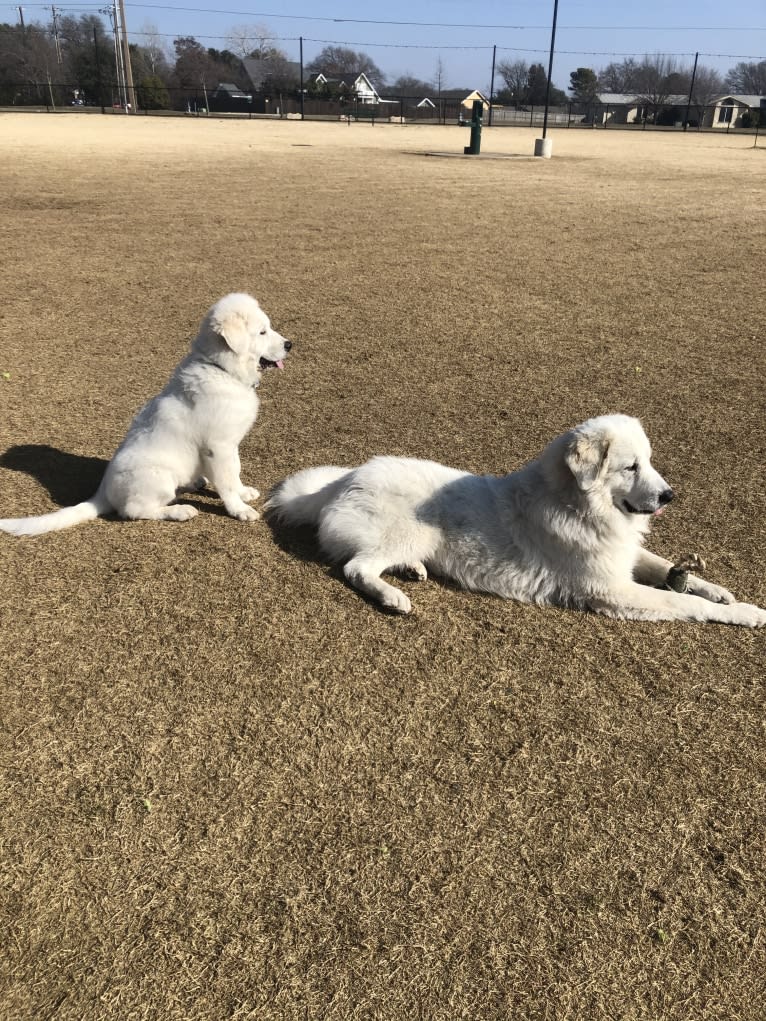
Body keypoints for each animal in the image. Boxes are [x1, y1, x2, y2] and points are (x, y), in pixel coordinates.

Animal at [0, 294, 290, 539]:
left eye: (268, 328)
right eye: (262, 332)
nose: (290, 344)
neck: (220, 369)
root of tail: (102, 491)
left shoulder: (230, 444)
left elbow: (234, 471)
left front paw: (243, 492)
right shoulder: (217, 447)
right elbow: (227, 483)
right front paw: (238, 509)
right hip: (158, 477)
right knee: (133, 510)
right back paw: (180, 511)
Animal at [265, 412, 766, 620]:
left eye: (649, 461)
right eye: (631, 467)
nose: (669, 495)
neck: (576, 505)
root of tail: (343, 478)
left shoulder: (622, 556)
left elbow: (667, 569)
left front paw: (720, 591)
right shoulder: (612, 591)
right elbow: (683, 604)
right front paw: (745, 614)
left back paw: (410, 573)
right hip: (413, 532)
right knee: (356, 567)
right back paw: (392, 596)